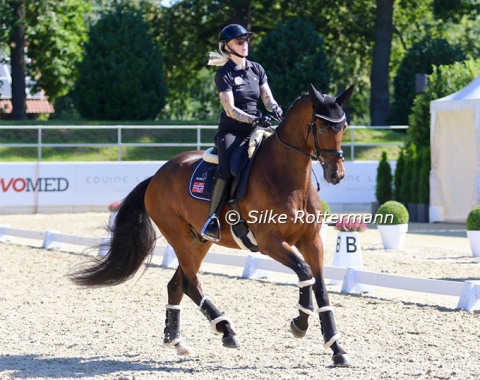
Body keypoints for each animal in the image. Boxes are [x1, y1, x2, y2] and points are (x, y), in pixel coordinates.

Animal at [69, 84, 354, 366]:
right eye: (322, 127)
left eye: (343, 127)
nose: (336, 174)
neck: (287, 177)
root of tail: (157, 175)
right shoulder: (270, 242)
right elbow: (304, 273)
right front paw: (300, 324)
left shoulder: (311, 241)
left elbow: (320, 288)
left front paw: (337, 348)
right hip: (179, 237)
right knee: (190, 284)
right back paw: (226, 329)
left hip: (199, 241)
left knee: (177, 284)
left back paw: (177, 341)